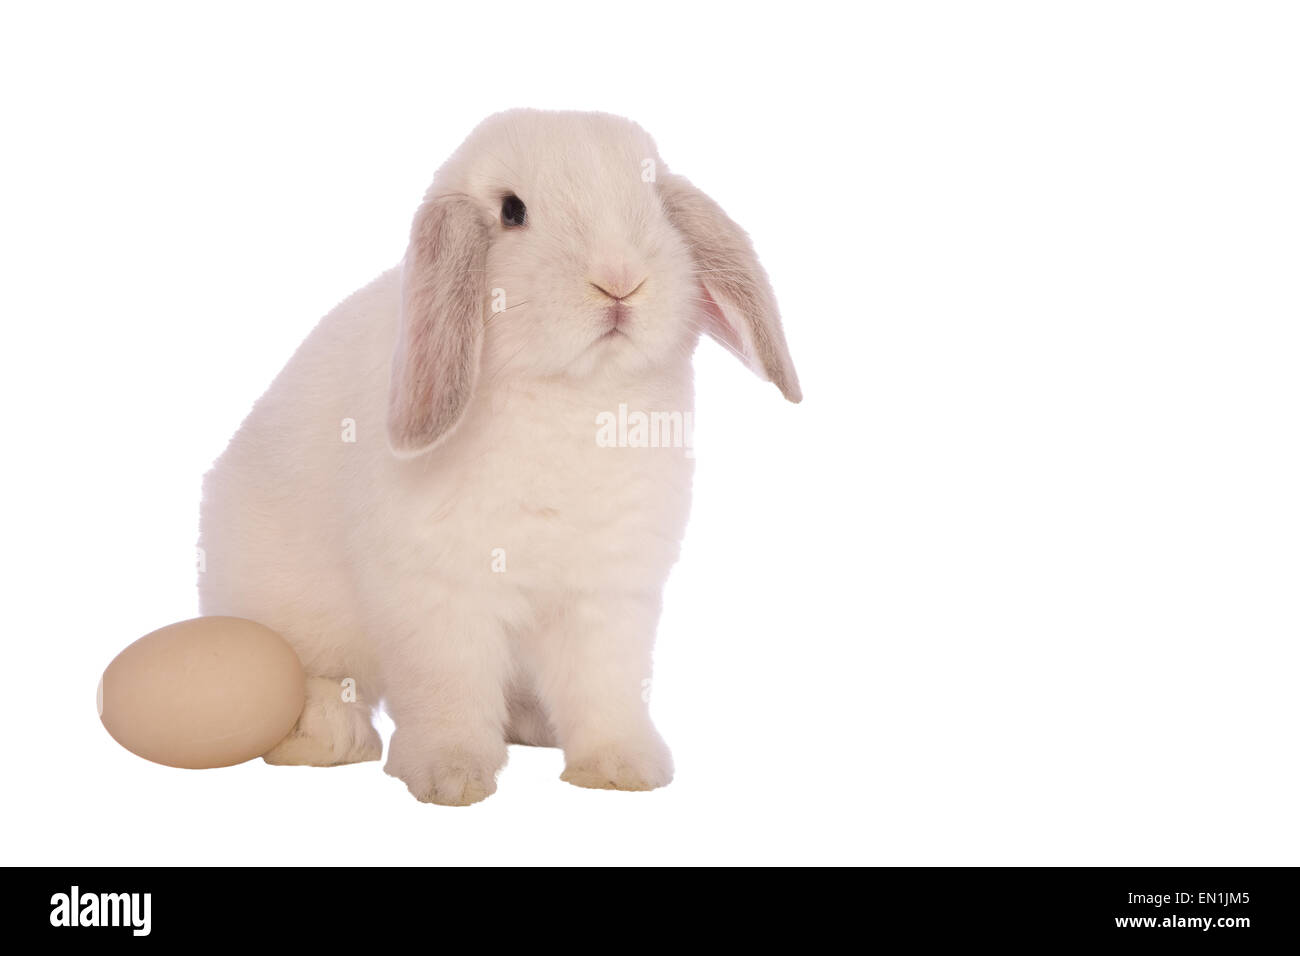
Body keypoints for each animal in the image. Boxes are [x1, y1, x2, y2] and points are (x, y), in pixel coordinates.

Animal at [196, 108, 795, 806]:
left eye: (651, 197)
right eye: (512, 212)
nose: (620, 281)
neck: (574, 395)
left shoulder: (607, 598)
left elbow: (606, 690)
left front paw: (621, 769)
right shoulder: (442, 597)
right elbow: (448, 692)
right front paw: (451, 777)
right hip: (277, 608)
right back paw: (324, 733)